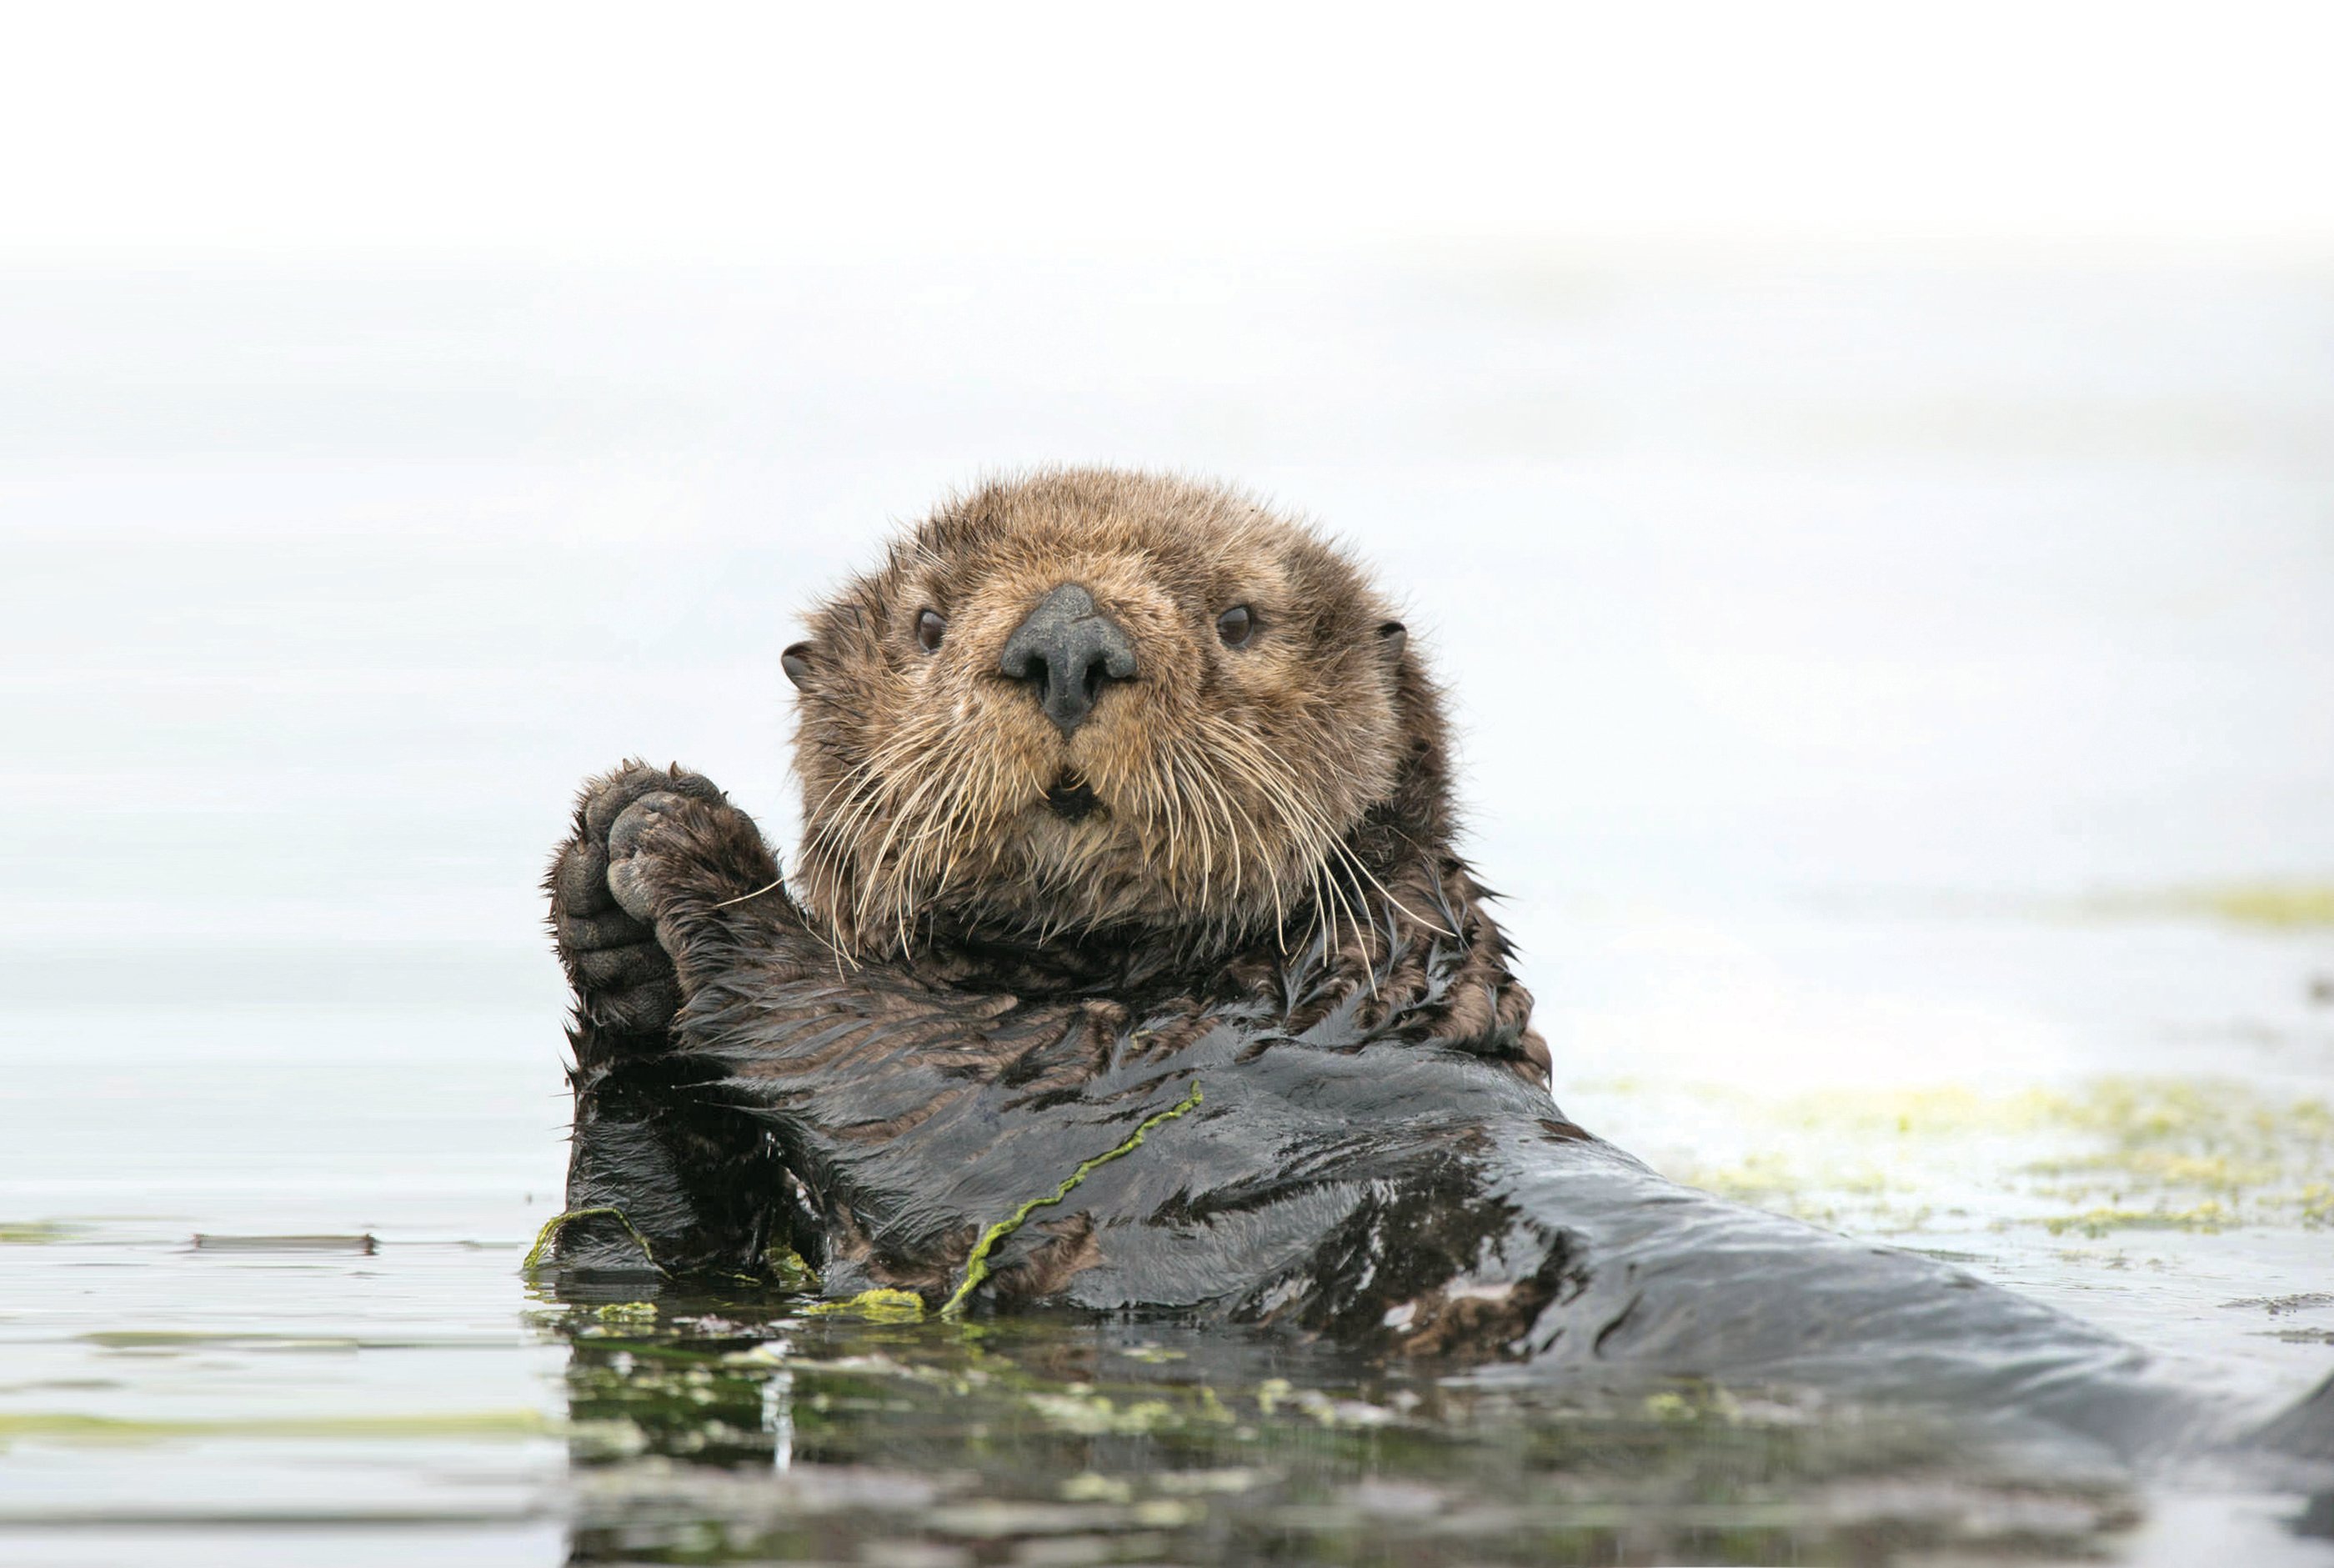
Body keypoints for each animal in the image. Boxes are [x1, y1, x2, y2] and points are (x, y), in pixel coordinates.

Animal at [541, 468, 2334, 1475]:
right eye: (924, 622)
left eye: (1240, 617)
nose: (1062, 639)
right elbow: (654, 1266)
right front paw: (602, 903)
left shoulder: (1121, 1098)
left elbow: (877, 1060)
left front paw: (682, 843)